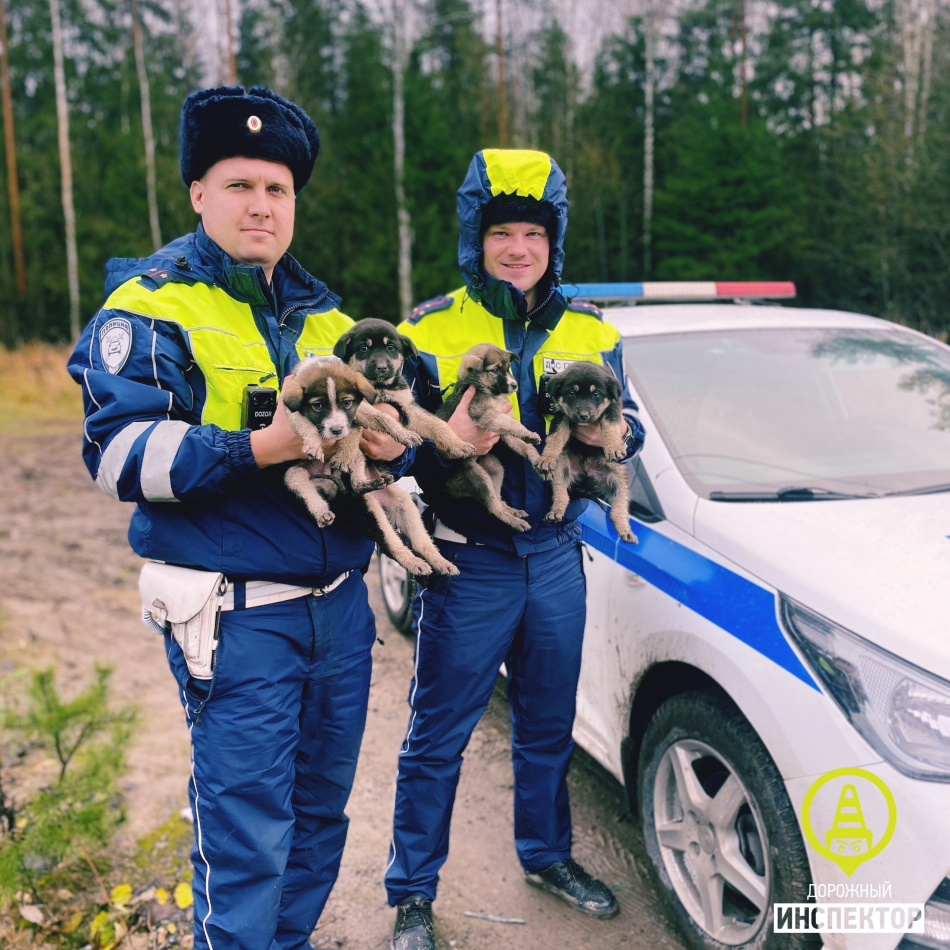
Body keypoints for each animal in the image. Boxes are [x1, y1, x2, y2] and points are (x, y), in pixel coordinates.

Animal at [280, 356, 456, 576]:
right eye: (318, 406)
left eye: (346, 403)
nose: (337, 431)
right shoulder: (293, 413)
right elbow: (305, 425)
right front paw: (313, 443)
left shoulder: (361, 407)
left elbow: (382, 417)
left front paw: (404, 434)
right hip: (343, 497)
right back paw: (323, 510)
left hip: (402, 502)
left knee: (418, 539)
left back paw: (438, 561)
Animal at [332, 320, 476, 464]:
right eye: (363, 348)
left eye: (391, 347)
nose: (382, 368)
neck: (379, 386)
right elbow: (359, 426)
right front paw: (345, 456)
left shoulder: (407, 405)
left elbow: (437, 423)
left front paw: (458, 444)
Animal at [436, 344, 544, 536]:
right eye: (495, 370)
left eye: (508, 368)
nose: (515, 385)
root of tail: (451, 489)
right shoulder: (486, 416)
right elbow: (511, 424)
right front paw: (528, 433)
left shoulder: (503, 431)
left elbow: (520, 440)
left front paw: (533, 453)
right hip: (477, 476)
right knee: (492, 506)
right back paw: (514, 521)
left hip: (494, 468)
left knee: (496, 498)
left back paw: (512, 510)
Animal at [536, 362, 640, 548]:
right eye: (571, 393)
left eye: (596, 394)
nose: (583, 416)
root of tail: (586, 479)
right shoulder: (562, 416)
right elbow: (555, 437)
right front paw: (547, 457)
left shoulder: (612, 409)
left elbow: (609, 426)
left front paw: (614, 446)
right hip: (562, 469)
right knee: (562, 494)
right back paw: (556, 511)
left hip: (618, 479)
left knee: (618, 509)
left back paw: (625, 530)